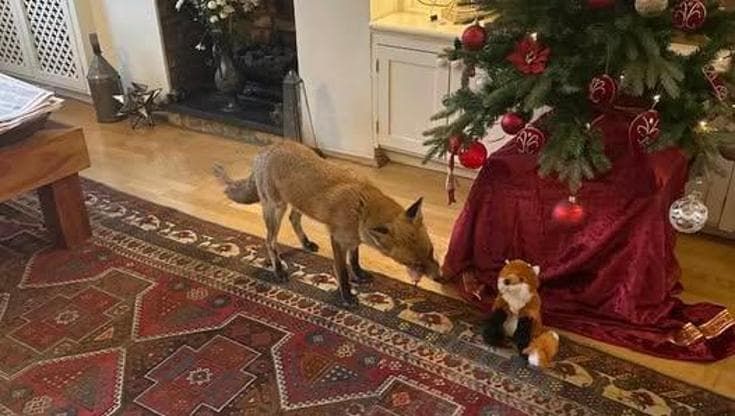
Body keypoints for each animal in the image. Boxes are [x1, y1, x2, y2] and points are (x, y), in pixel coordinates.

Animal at [213, 141, 442, 307]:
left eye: (431, 252)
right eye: (415, 264)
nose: (440, 278)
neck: (361, 207)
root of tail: (266, 149)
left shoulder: (354, 238)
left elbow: (355, 260)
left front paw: (359, 275)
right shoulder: (338, 240)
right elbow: (342, 272)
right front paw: (347, 296)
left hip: (298, 203)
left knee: (293, 220)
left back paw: (304, 244)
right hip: (275, 209)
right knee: (270, 241)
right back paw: (278, 268)